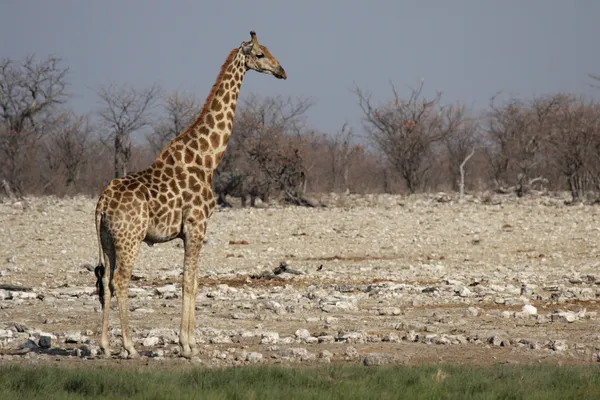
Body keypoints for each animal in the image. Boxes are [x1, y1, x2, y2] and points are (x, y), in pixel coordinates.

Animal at [95, 29, 288, 358]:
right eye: (260, 54)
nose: (282, 71)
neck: (208, 157)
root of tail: (102, 203)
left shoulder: (188, 231)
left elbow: (192, 280)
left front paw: (190, 342)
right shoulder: (197, 226)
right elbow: (190, 282)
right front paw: (187, 346)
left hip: (107, 240)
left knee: (106, 281)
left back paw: (106, 346)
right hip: (129, 238)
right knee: (120, 280)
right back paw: (130, 346)